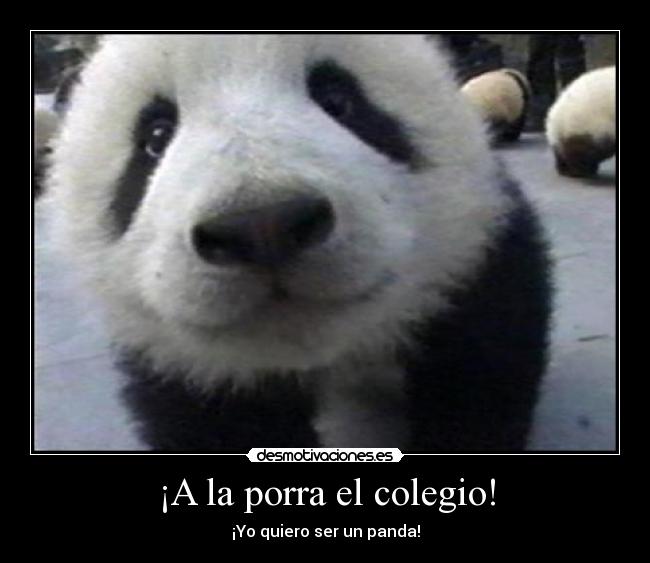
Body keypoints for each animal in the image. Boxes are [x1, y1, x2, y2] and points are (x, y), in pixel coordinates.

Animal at [45, 34, 552, 452]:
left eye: (338, 99)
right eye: (154, 135)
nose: (261, 224)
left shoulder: (472, 256)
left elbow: (479, 367)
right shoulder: (186, 363)